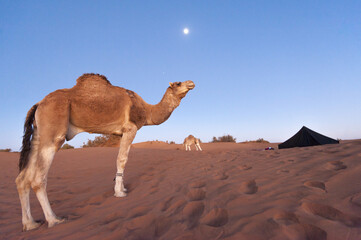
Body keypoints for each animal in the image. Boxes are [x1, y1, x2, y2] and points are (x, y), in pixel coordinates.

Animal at [14, 73, 194, 231]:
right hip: (54, 130)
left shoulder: (120, 133)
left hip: (38, 134)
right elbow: (122, 159)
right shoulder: (130, 128)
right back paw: (54, 220)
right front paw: (119, 193)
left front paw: (122, 189)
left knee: (23, 179)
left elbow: (121, 158)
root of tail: (38, 104)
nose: (191, 82)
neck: (146, 110)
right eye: (178, 83)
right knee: (38, 178)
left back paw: (30, 224)